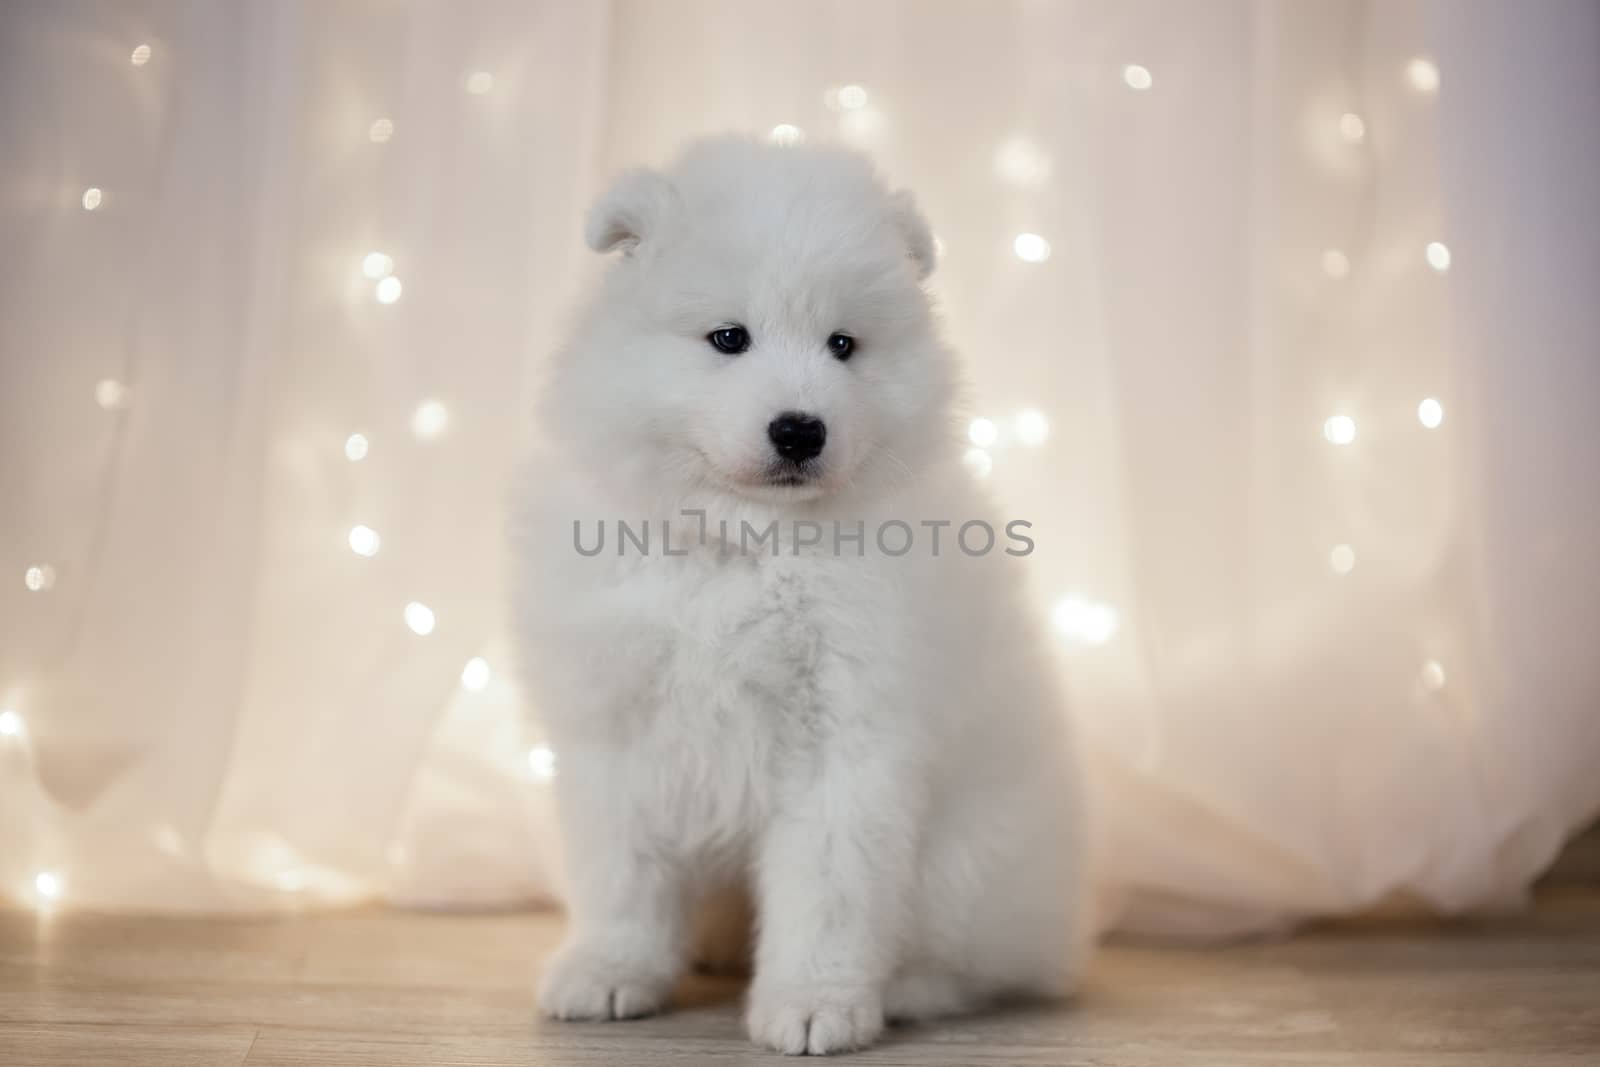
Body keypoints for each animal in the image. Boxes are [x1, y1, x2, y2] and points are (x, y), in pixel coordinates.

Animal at [512, 137, 1088, 1055]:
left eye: (843, 345)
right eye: (728, 338)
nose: (799, 429)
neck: (745, 544)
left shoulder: (844, 739)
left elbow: (829, 891)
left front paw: (816, 1003)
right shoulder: (618, 727)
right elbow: (622, 871)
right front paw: (608, 969)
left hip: (966, 867)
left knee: (979, 963)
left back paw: (910, 988)